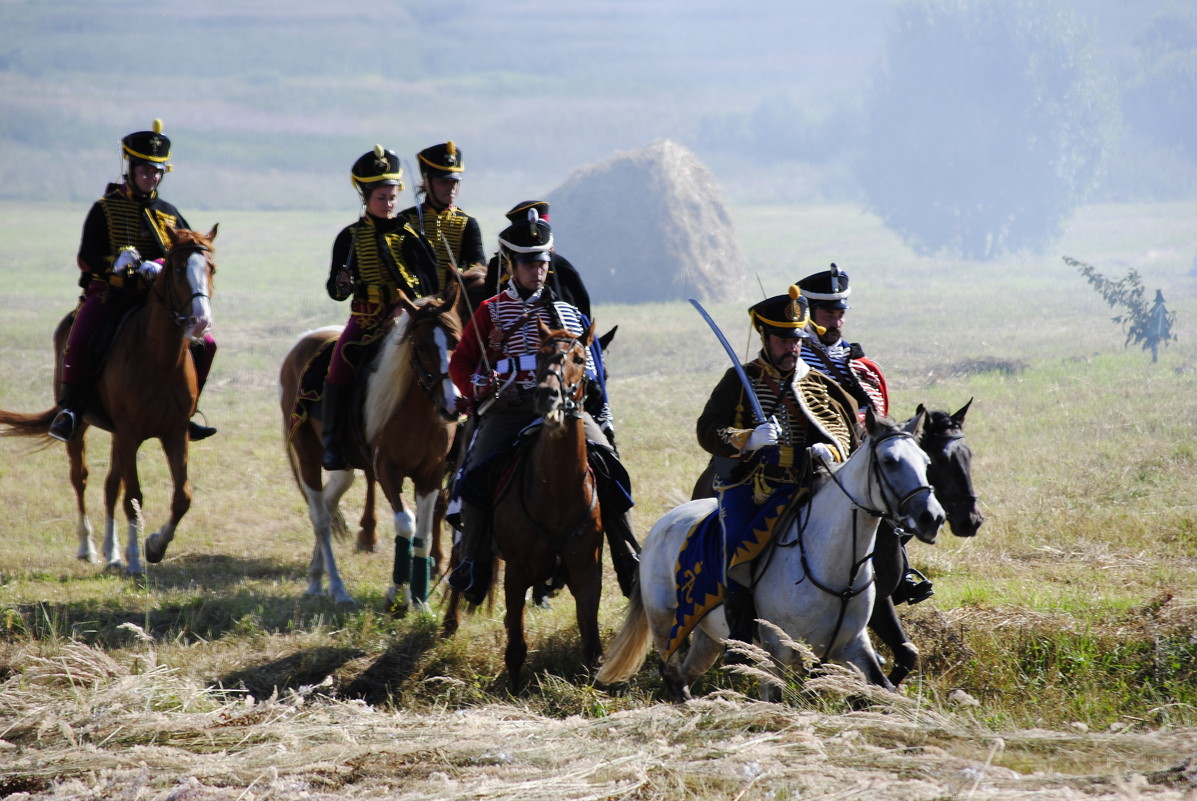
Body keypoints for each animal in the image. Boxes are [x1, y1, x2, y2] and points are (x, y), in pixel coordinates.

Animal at [0, 225, 220, 574]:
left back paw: (112, 552)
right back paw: (88, 548)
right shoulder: (130, 434)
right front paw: (135, 560)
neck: (159, 358)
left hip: (119, 436)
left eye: (211, 268)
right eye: (177, 267)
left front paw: (154, 546)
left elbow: (181, 496)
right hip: (80, 428)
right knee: (81, 479)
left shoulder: (174, 433)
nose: (200, 322)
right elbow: (134, 496)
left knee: (109, 486)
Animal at [280, 286, 462, 605]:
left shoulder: (431, 475)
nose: (453, 405)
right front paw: (397, 593)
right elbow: (406, 523)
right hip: (307, 454)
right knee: (320, 517)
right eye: (422, 346)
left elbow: (423, 534)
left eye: (455, 341)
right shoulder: (387, 470)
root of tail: (303, 342)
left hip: (344, 467)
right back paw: (337, 588)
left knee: (329, 503)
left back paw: (316, 579)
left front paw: (420, 601)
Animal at [488, 318, 603, 689]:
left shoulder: (587, 574)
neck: (555, 495)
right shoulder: (515, 574)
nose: (546, 394)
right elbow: (516, 645)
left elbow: (593, 647)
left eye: (579, 359)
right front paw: (513, 689)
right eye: (538, 356)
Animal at [598, 409, 943, 694]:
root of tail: (662, 525)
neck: (830, 563)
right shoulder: (775, 652)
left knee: (688, 672)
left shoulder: (853, 646)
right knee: (673, 676)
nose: (932, 517)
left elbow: (883, 687)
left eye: (927, 462)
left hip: (708, 635)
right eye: (889, 461)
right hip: (665, 622)